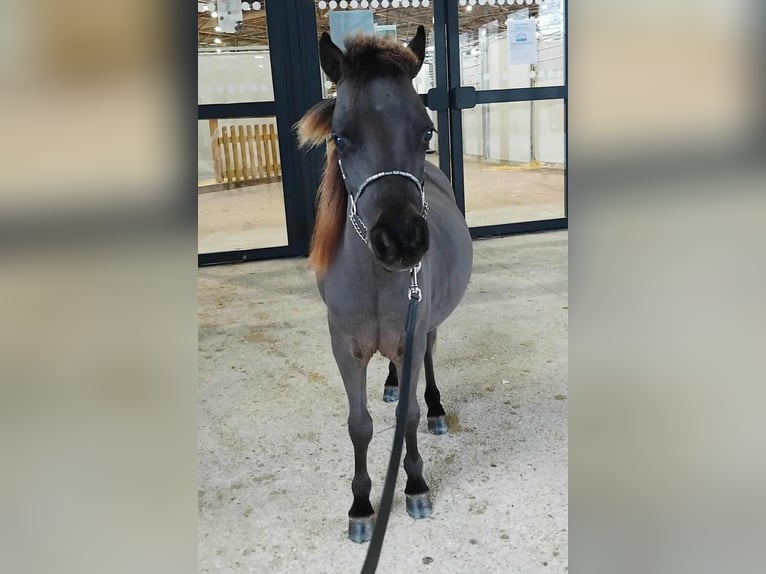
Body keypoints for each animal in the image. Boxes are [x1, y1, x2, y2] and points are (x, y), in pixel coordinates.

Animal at [297, 27, 473, 544]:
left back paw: (435, 408)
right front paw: (360, 506)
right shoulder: (344, 348)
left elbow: (405, 417)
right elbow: (360, 425)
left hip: (427, 327)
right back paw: (393, 384)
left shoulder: (410, 337)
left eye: (426, 131)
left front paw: (414, 485)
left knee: (429, 361)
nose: (402, 241)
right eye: (340, 137)